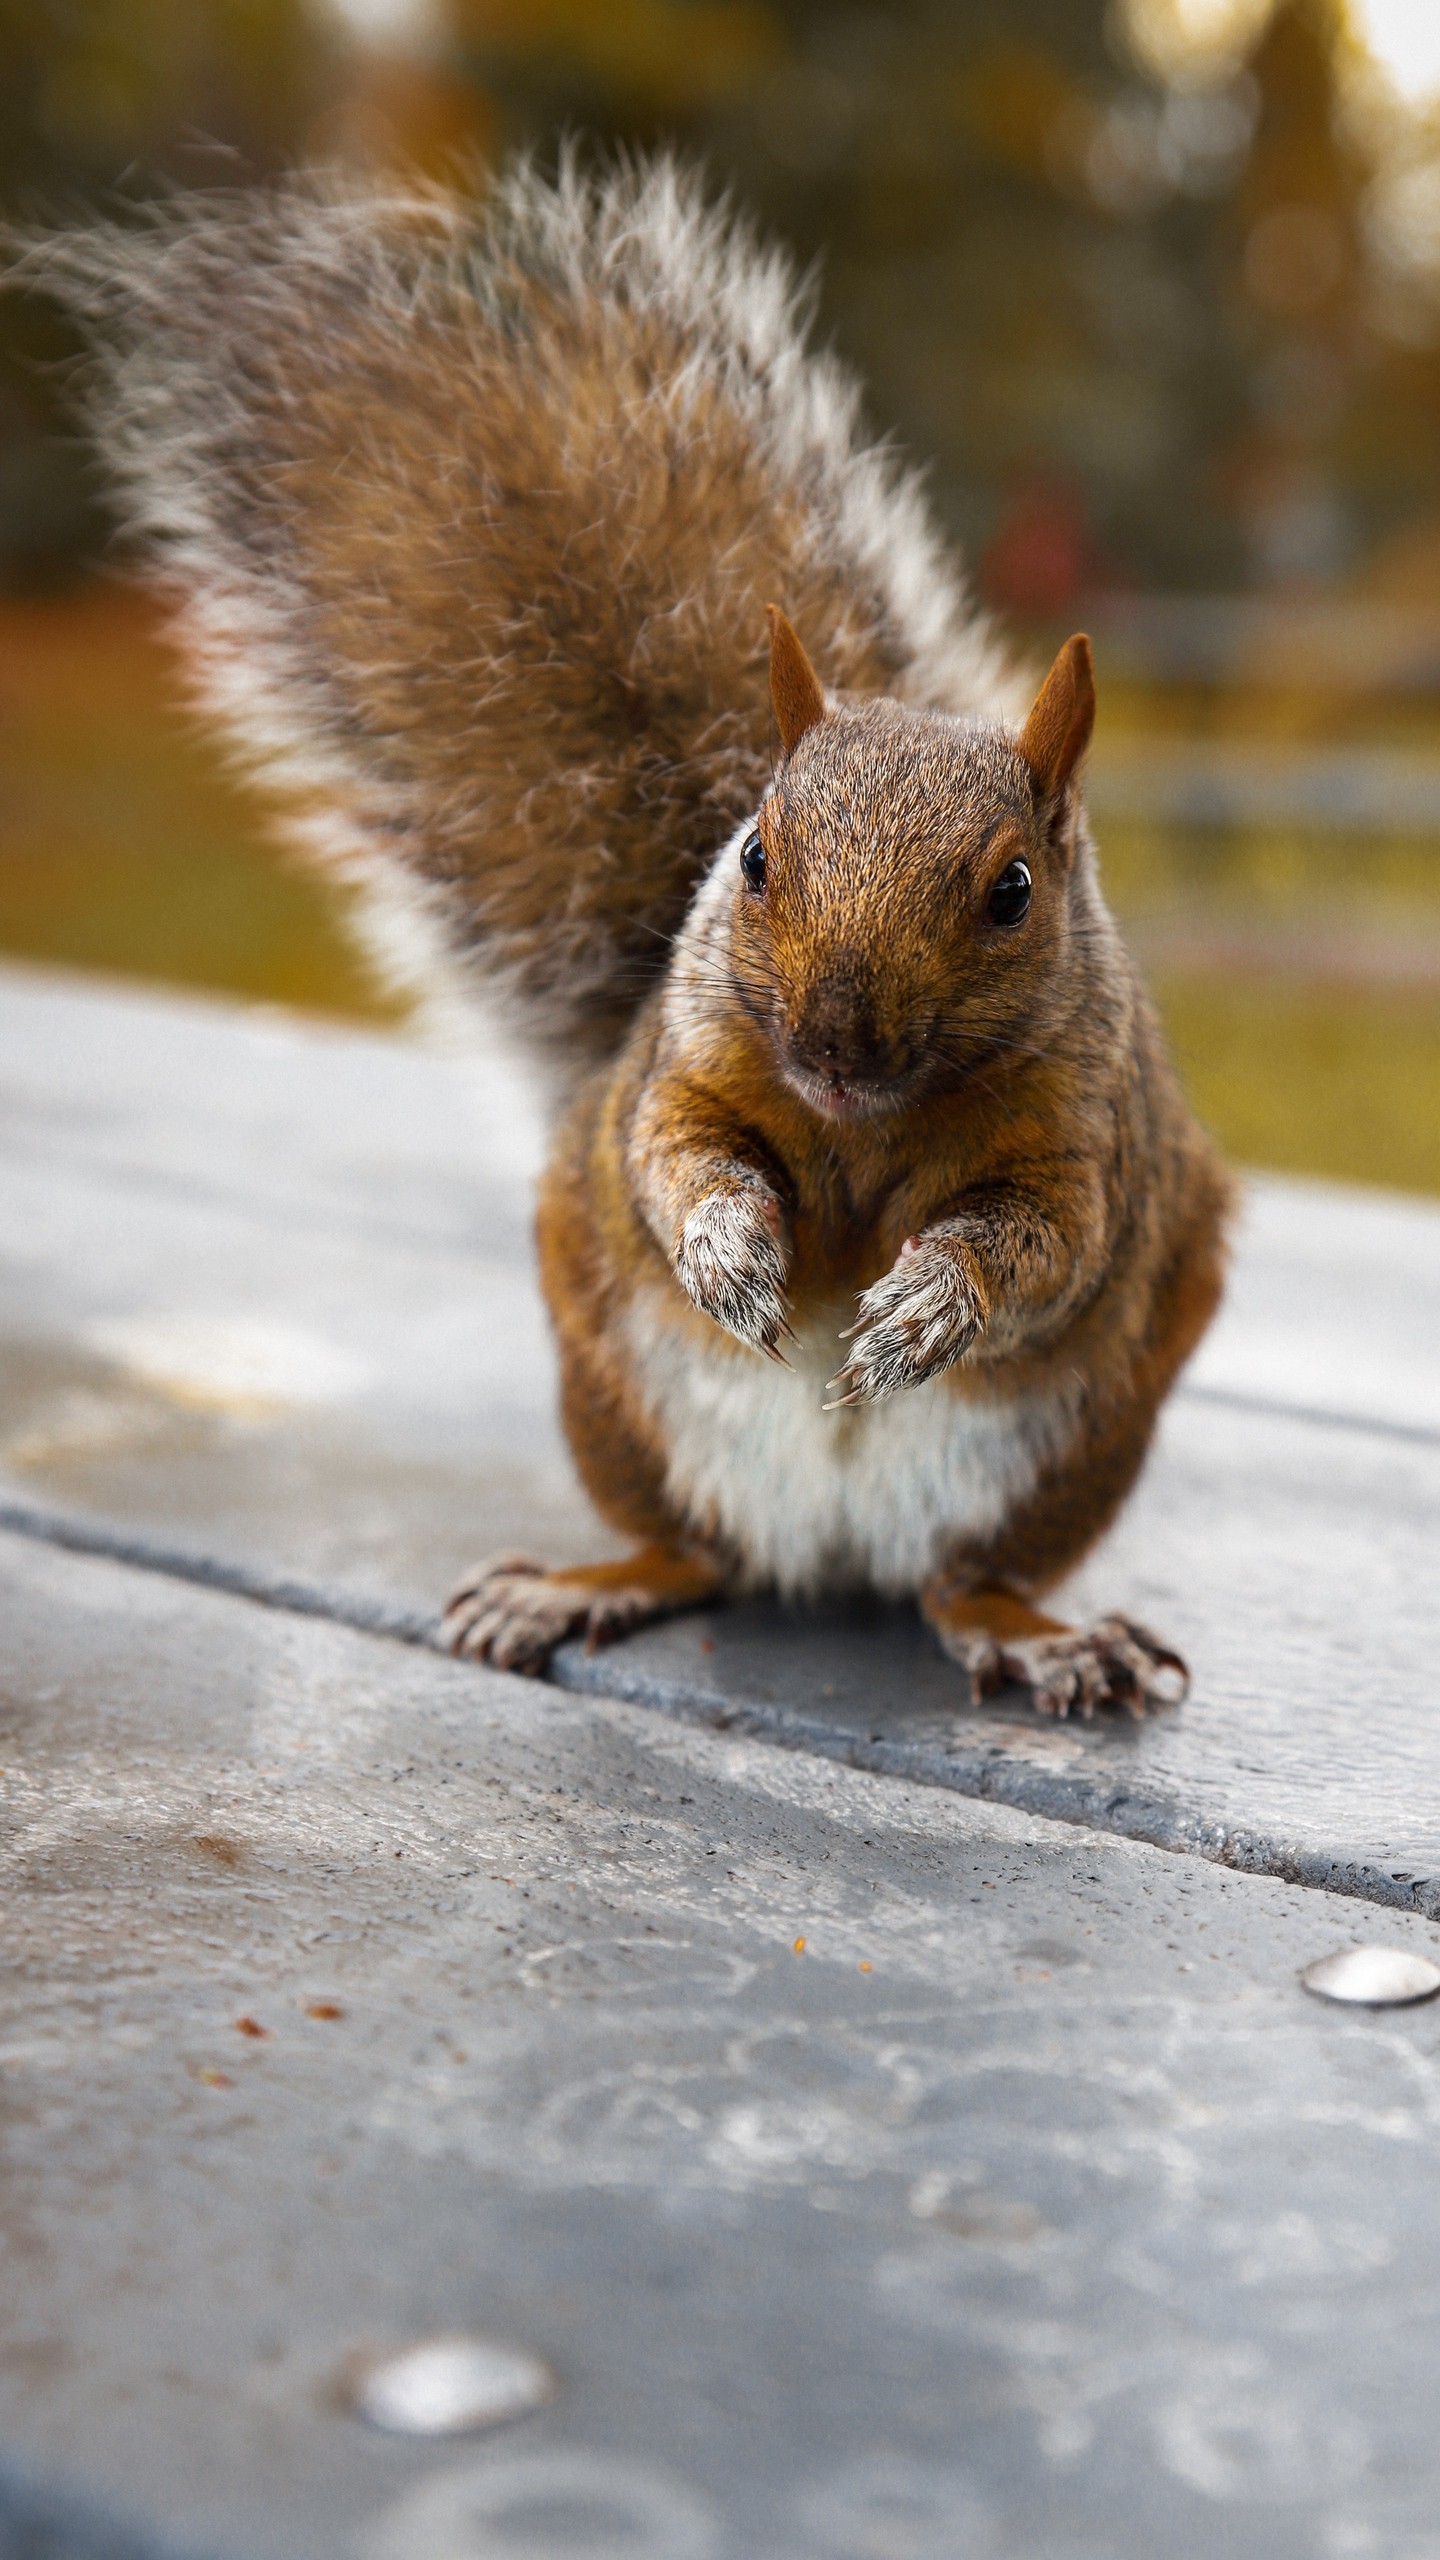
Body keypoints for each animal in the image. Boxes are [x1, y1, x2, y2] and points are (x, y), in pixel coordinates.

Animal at [28, 160, 1229, 1720]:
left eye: (1016, 890)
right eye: (757, 855)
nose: (837, 1041)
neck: (865, 1131)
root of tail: (826, 1546)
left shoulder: (1089, 1145)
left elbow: (1045, 1249)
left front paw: (923, 1308)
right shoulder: (684, 1069)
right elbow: (673, 1160)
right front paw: (729, 1250)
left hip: (1058, 1465)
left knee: (958, 1584)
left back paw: (1044, 1635)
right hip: (620, 1411)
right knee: (693, 1554)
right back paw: (575, 1585)